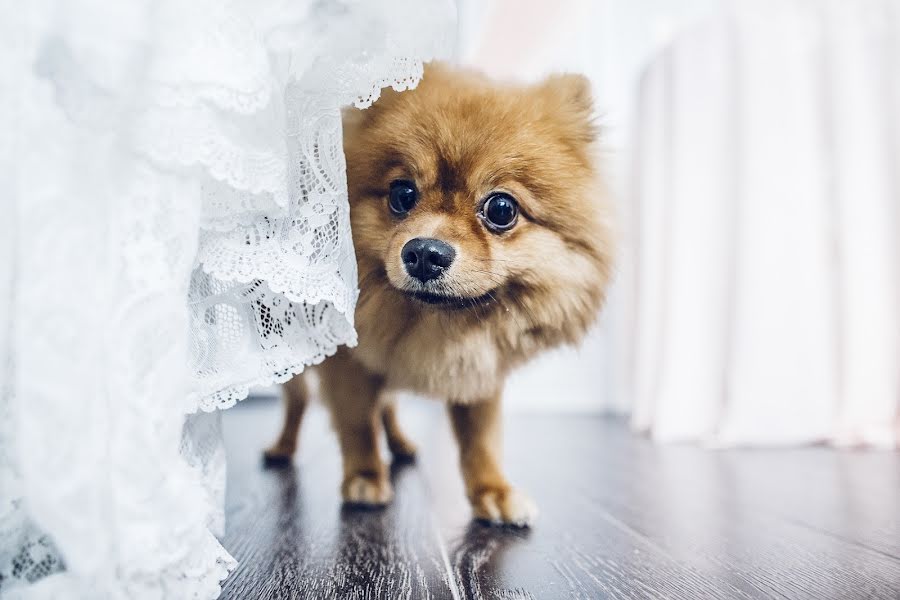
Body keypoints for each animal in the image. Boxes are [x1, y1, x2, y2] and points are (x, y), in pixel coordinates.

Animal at [262, 63, 612, 528]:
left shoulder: (481, 368)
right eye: (402, 195)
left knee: (388, 405)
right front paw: (364, 475)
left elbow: (481, 439)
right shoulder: (348, 361)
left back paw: (402, 444)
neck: (434, 326)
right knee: (299, 402)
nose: (425, 253)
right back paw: (283, 447)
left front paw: (493, 491)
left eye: (501, 209)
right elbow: (357, 422)